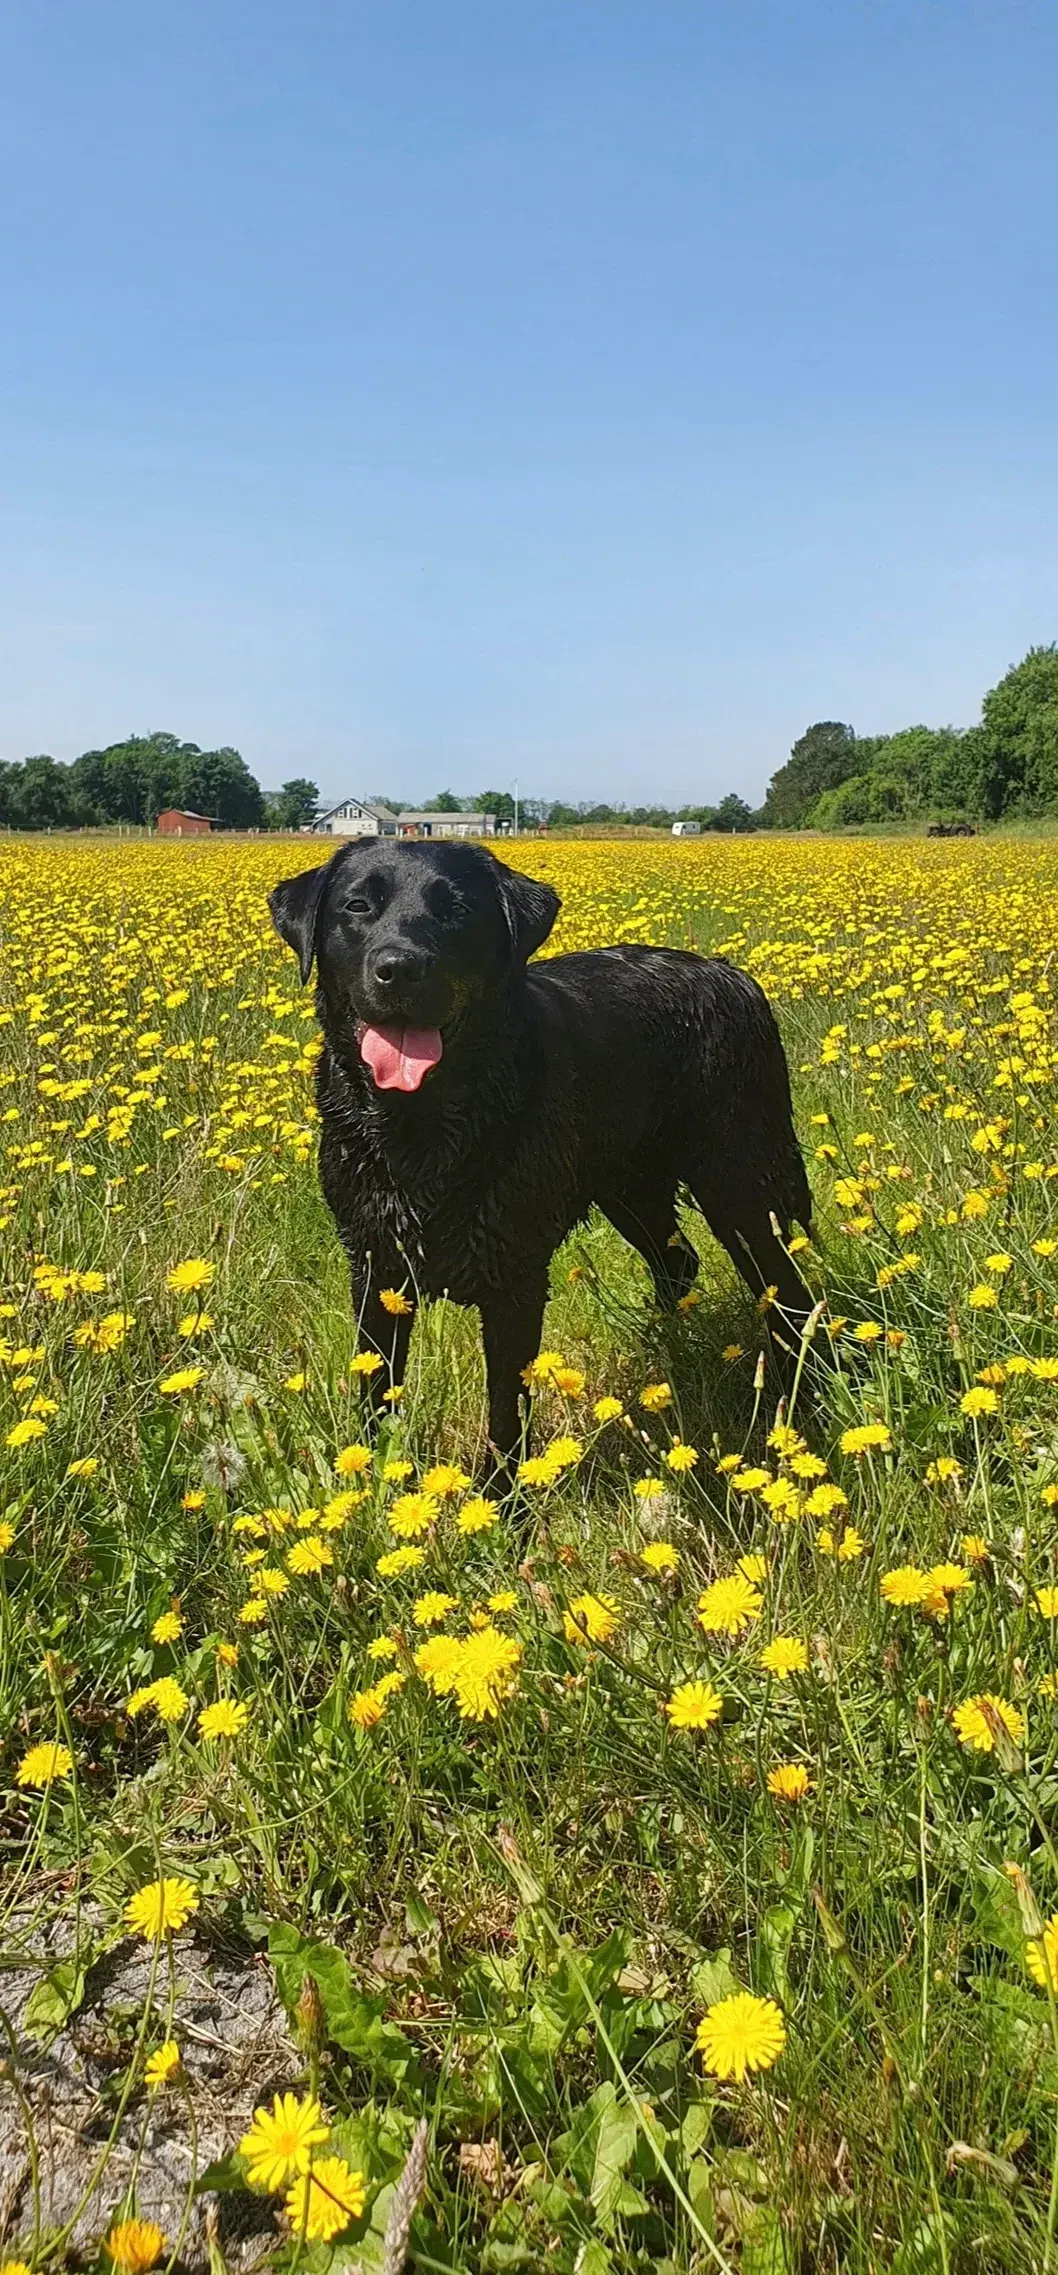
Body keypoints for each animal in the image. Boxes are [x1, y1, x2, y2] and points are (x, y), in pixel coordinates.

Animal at [268, 846, 814, 1465]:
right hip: (629, 1189)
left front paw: (501, 1490)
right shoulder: (374, 1264)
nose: (400, 967)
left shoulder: (515, 1279)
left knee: (788, 1292)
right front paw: (371, 1470)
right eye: (358, 905)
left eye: (457, 909)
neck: (423, 1127)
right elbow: (376, 1386)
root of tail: (731, 972)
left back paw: (799, 1400)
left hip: (741, 1187)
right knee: (678, 1263)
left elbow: (506, 1415)